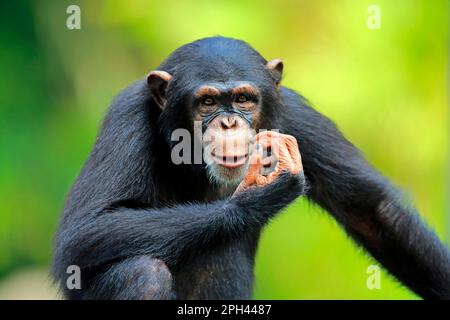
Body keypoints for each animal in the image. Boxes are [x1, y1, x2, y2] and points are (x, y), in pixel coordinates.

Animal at [52, 36, 450, 298]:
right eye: (207, 102)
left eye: (244, 98)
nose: (229, 123)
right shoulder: (127, 116)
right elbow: (86, 231)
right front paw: (258, 197)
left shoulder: (296, 115)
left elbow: (373, 211)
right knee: (142, 274)